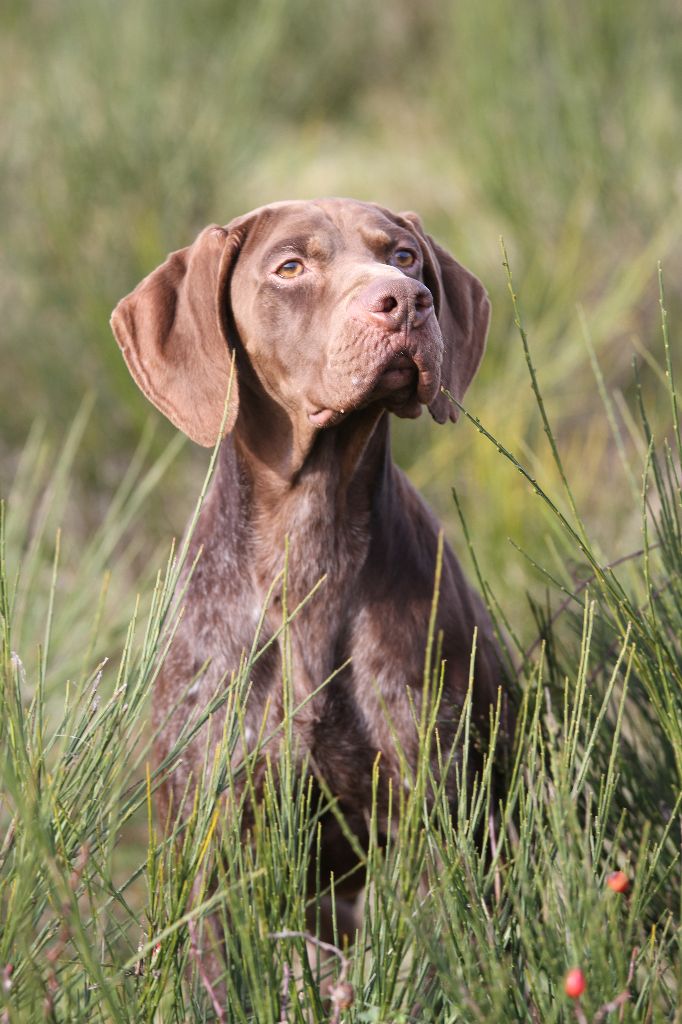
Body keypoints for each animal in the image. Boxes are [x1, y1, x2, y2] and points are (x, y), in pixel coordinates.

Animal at [109, 197, 507, 950]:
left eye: (404, 255)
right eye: (290, 267)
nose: (405, 301)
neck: (310, 545)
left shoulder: (438, 807)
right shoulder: (209, 835)